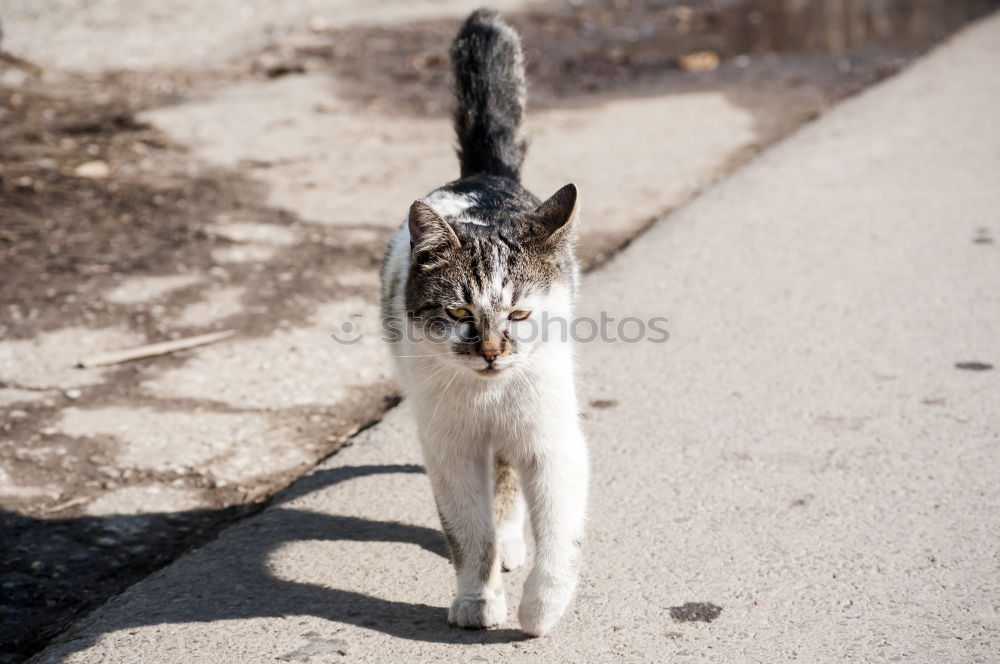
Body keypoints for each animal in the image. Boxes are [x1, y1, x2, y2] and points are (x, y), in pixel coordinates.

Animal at [380, 7, 584, 636]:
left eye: (519, 311)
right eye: (456, 311)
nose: (492, 351)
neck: (488, 397)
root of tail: (484, 177)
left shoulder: (551, 439)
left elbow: (560, 534)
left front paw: (541, 609)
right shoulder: (450, 450)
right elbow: (468, 533)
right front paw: (476, 601)